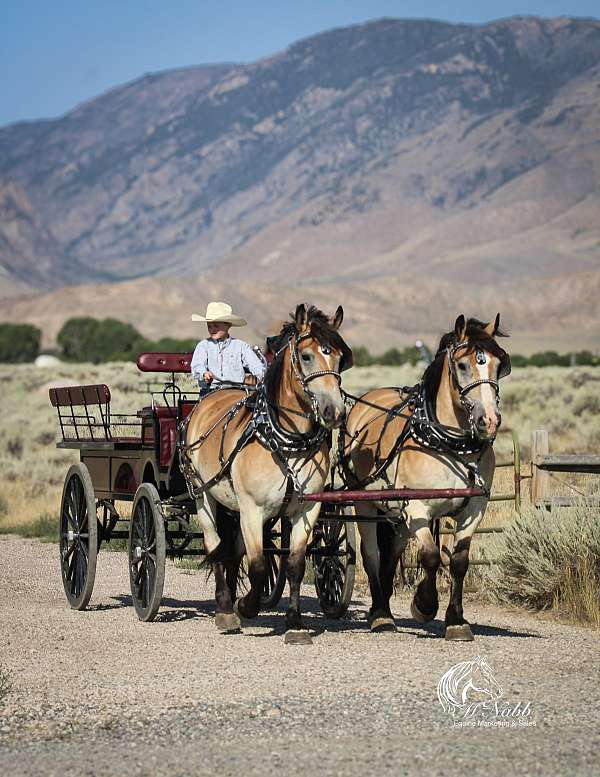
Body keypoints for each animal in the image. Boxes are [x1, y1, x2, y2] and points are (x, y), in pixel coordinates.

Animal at [183, 304, 352, 644]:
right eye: (307, 356)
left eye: (341, 358)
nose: (335, 413)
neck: (284, 440)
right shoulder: (252, 508)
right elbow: (259, 566)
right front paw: (246, 606)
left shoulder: (307, 509)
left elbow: (295, 565)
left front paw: (296, 624)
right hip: (203, 494)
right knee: (214, 545)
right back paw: (226, 610)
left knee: (231, 550)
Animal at [341, 314, 510, 641]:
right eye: (463, 365)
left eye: (500, 364)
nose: (489, 420)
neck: (450, 445)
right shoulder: (417, 508)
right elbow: (431, 556)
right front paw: (424, 605)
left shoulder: (474, 509)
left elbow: (459, 562)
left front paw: (456, 620)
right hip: (365, 503)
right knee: (372, 555)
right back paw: (381, 615)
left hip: (395, 514)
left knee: (390, 556)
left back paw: (382, 607)